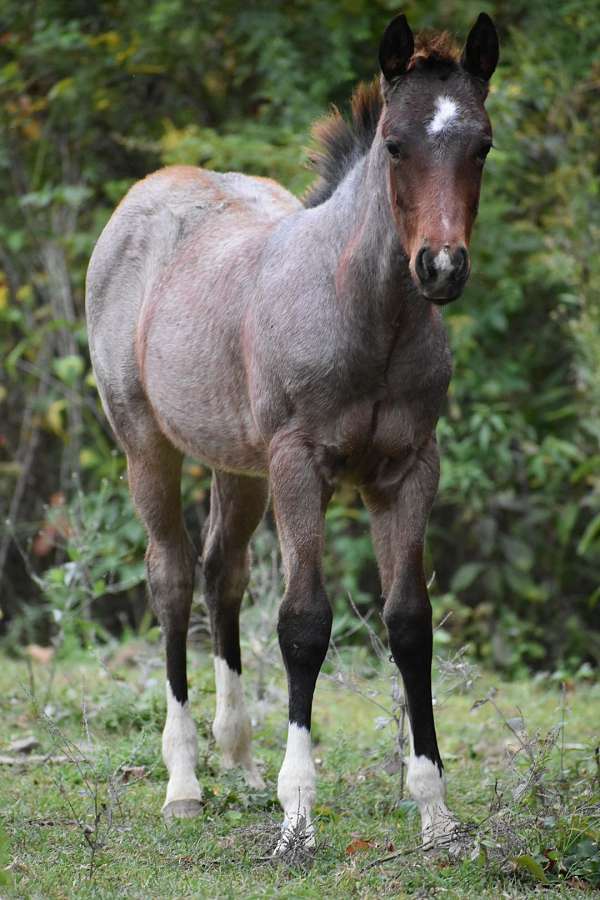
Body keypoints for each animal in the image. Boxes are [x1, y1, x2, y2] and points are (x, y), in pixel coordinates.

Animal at [88, 14, 502, 856]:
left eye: (480, 145)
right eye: (395, 145)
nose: (441, 267)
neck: (365, 314)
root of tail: (148, 190)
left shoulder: (410, 469)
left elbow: (409, 623)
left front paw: (436, 813)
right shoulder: (299, 466)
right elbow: (305, 623)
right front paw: (297, 813)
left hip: (238, 465)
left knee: (222, 572)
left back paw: (240, 762)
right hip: (148, 443)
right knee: (172, 576)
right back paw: (185, 782)